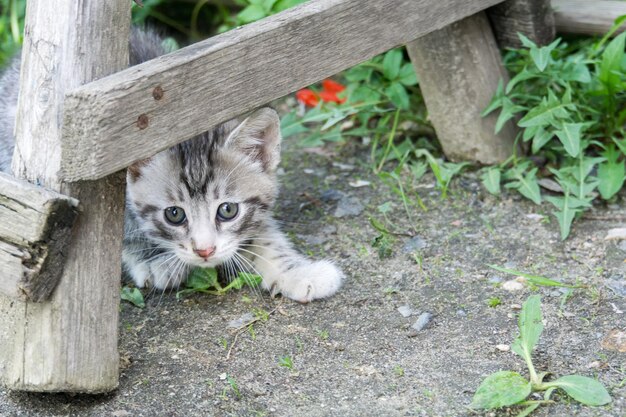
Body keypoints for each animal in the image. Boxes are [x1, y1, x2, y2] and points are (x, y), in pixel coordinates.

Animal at [0, 29, 342, 302]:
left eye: (228, 210)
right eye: (174, 215)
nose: (204, 251)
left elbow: (265, 234)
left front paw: (299, 272)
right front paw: (153, 258)